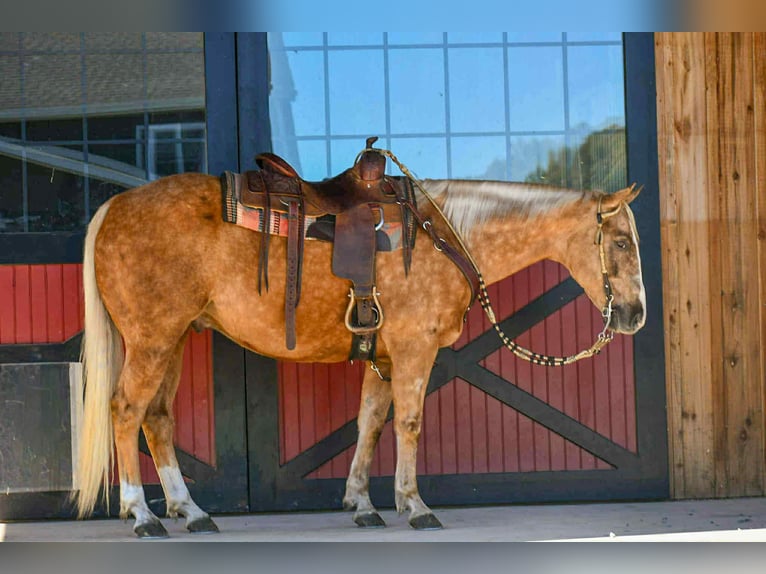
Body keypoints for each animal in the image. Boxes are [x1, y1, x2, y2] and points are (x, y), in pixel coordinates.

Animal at [73, 167, 645, 538]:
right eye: (621, 243)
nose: (635, 315)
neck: (446, 233)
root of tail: (114, 207)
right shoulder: (414, 350)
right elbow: (408, 423)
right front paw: (415, 506)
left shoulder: (386, 357)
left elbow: (369, 421)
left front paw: (363, 504)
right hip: (152, 340)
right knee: (126, 410)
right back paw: (142, 514)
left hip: (173, 339)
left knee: (157, 418)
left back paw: (190, 512)